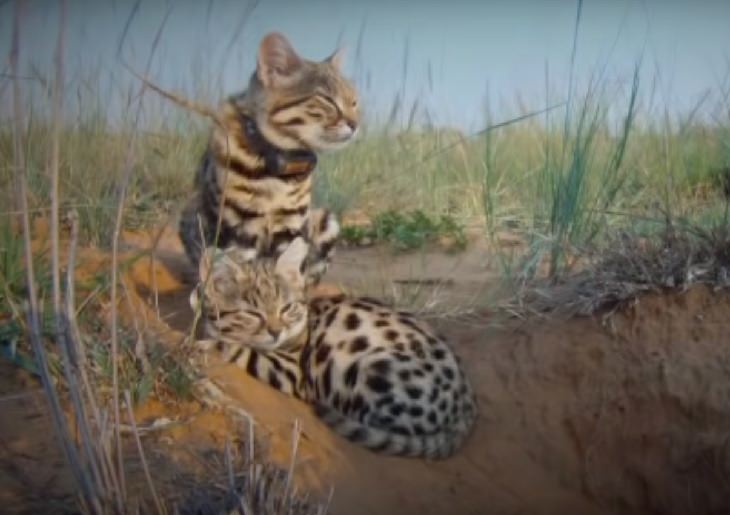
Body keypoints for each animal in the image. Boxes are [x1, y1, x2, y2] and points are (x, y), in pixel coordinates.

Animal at [191, 238, 474, 460]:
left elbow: (235, 348)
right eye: (252, 314)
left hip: (369, 367)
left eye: (287, 308)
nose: (276, 331)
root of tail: (465, 411)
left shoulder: (292, 370)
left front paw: (199, 343)